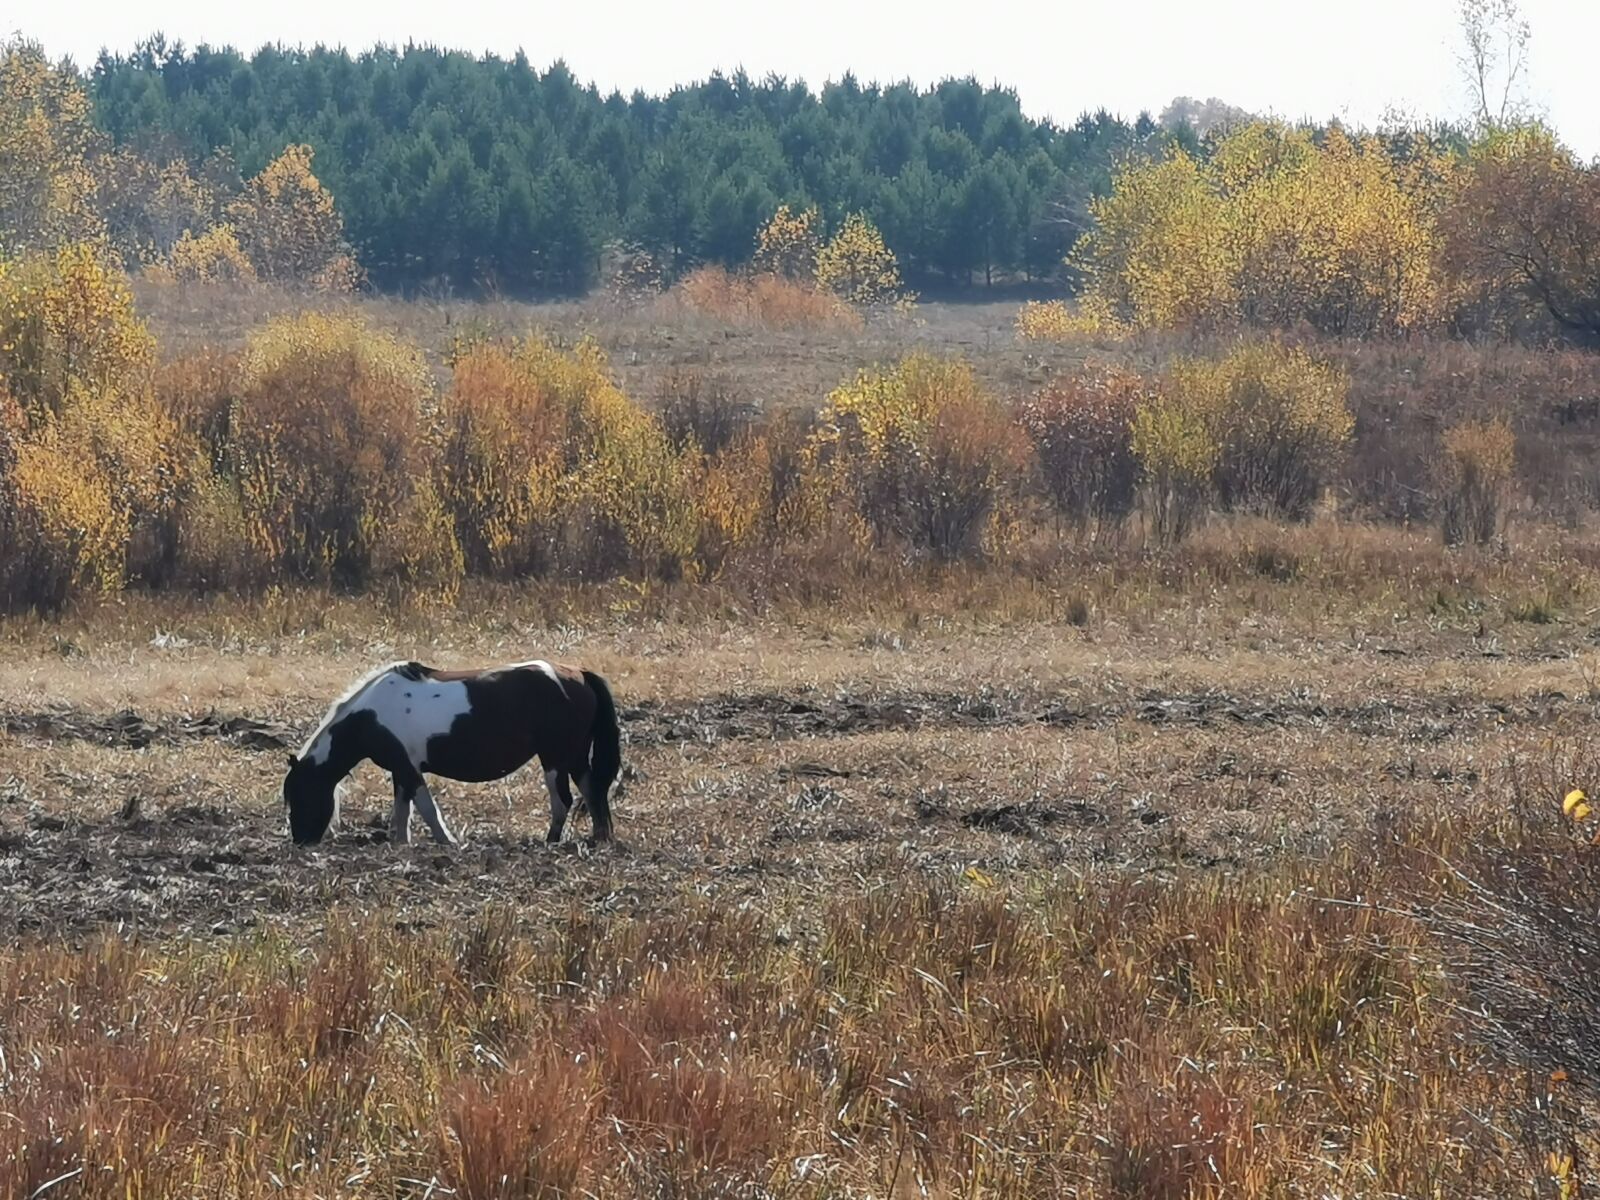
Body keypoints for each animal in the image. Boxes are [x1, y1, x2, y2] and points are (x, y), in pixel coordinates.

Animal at [282, 659, 619, 847]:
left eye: (301, 794)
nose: (301, 841)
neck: (371, 716)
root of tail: (578, 675)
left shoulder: (409, 770)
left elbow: (426, 809)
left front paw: (449, 842)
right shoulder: (401, 770)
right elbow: (402, 812)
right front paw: (401, 845)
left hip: (554, 759)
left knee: (563, 800)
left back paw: (551, 841)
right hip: (575, 758)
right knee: (592, 792)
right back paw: (599, 839)